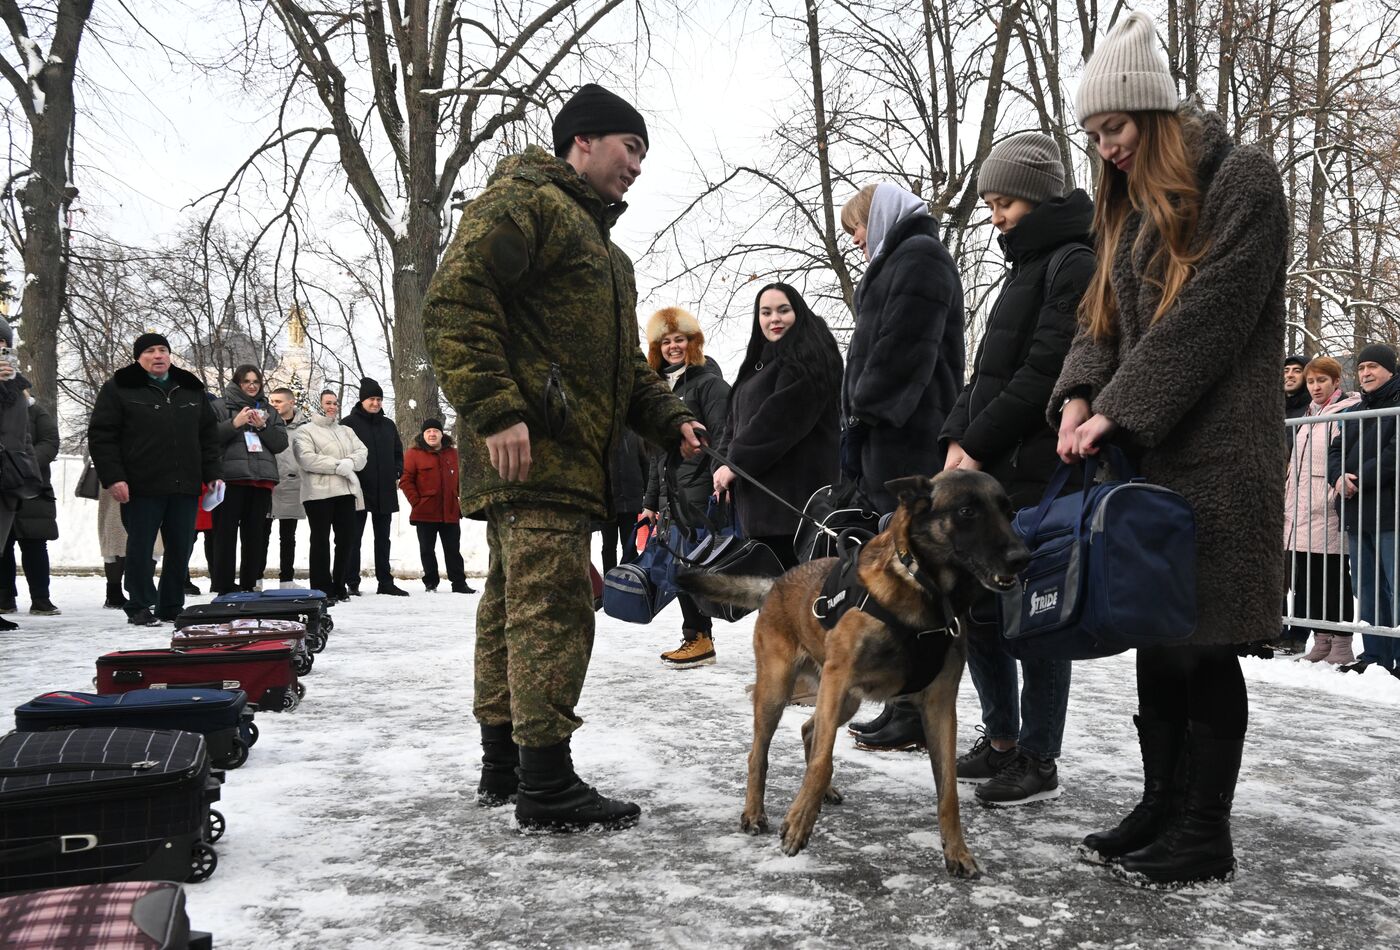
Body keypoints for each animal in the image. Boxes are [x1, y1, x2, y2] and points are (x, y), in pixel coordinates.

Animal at [677, 472, 1030, 878]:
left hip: (845, 699)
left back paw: (822, 792)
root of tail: (778, 581)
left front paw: (956, 851)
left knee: (809, 729)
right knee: (761, 753)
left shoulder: (939, 705)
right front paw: (799, 822)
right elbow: (822, 760)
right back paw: (755, 812)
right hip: (781, 691)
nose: (1022, 558)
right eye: (967, 511)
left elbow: (948, 790)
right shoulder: (839, 678)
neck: (922, 590)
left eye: (1008, 511)